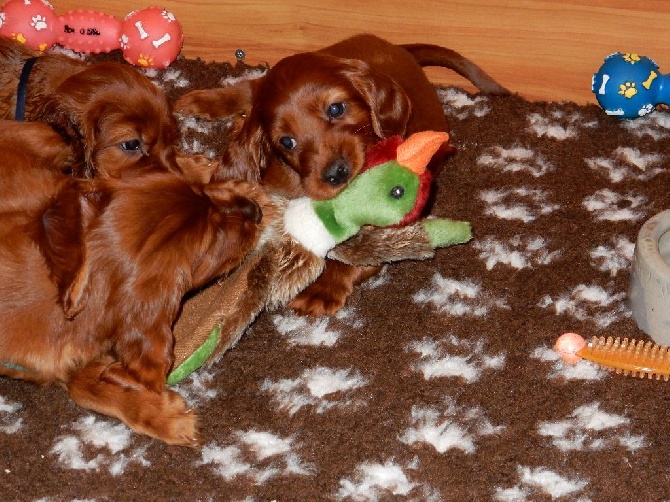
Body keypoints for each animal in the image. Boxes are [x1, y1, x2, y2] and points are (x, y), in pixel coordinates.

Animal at [175, 33, 510, 314]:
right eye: (287, 141)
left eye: (336, 109)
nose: (336, 174)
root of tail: (394, 47)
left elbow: (360, 255)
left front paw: (322, 290)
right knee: (251, 86)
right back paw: (205, 102)